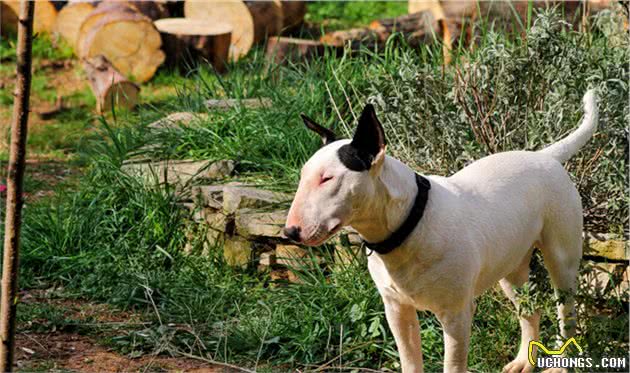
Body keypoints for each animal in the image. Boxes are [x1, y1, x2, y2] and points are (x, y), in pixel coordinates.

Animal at [284, 91, 600, 372]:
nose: (290, 232)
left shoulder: (456, 315)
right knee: (529, 311)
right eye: (303, 176)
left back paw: (560, 365)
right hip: (510, 267)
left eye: (327, 179)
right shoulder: (396, 310)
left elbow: (454, 364)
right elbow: (410, 361)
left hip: (561, 257)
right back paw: (523, 361)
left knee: (566, 313)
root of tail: (545, 157)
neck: (409, 223)